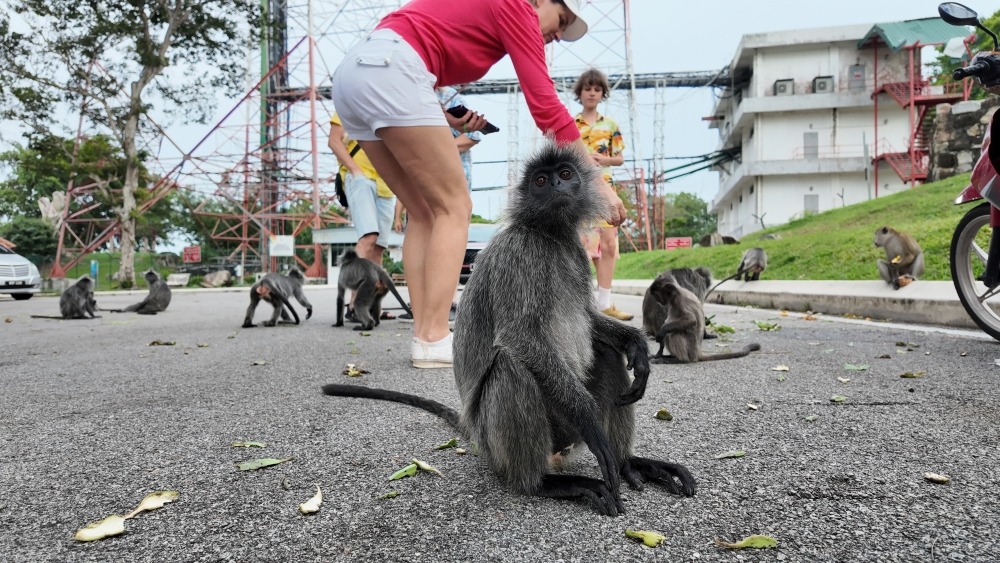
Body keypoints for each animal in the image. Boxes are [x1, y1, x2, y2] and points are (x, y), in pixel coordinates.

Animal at [322, 140, 695, 516]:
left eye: (565, 174)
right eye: (541, 180)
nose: (556, 186)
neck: (549, 236)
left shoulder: (575, 254)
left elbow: (589, 319)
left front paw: (637, 345)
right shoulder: (519, 255)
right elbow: (520, 340)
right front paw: (590, 419)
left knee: (604, 351)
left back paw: (626, 463)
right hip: (500, 443)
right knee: (510, 365)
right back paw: (543, 483)